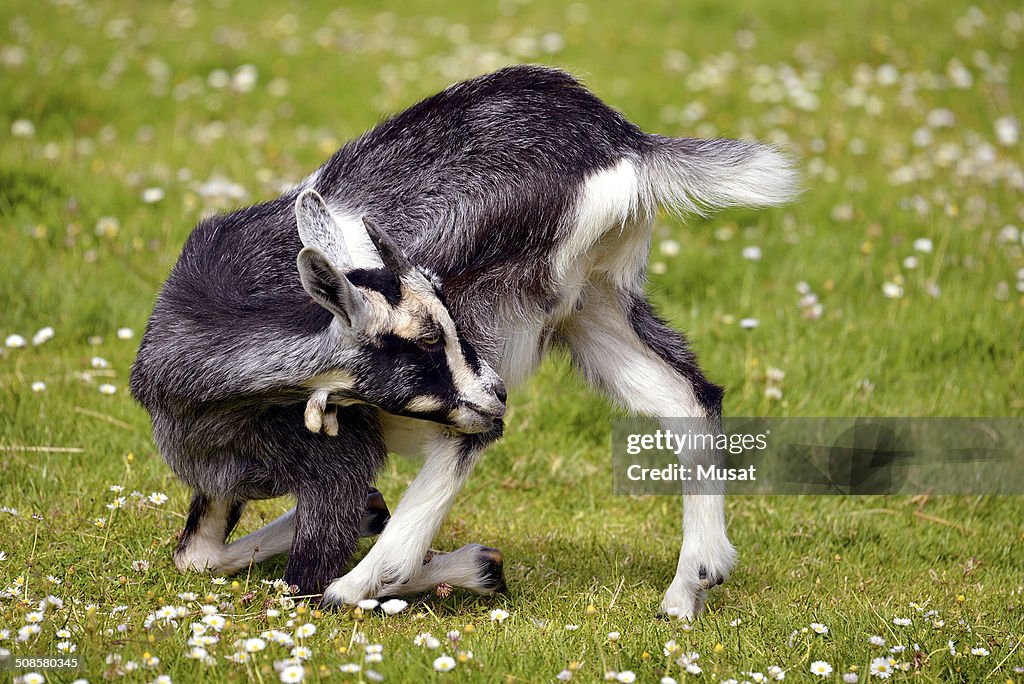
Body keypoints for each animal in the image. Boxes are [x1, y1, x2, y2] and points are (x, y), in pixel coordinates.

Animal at [130, 65, 798, 618]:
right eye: (420, 342)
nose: (494, 390)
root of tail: (622, 141)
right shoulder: (223, 480)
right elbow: (195, 556)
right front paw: (379, 517)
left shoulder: (337, 465)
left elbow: (303, 581)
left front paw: (459, 563)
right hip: (589, 302)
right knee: (689, 398)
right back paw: (690, 586)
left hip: (501, 313)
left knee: (466, 445)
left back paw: (380, 578)